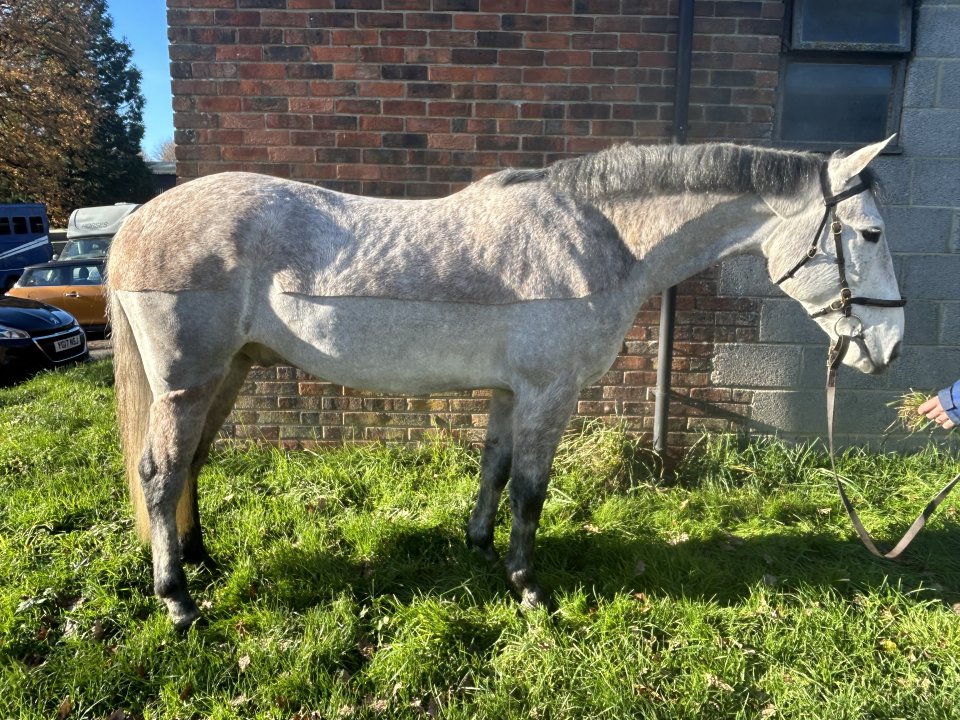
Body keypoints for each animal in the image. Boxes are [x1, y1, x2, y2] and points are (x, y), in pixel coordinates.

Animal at [106, 138, 904, 630]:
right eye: (869, 234)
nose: (891, 347)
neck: (599, 235)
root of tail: (137, 224)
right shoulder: (550, 393)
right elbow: (530, 488)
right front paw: (529, 589)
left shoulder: (506, 392)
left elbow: (493, 468)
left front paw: (481, 548)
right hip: (188, 382)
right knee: (159, 472)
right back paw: (178, 600)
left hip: (229, 372)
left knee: (191, 464)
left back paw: (202, 559)